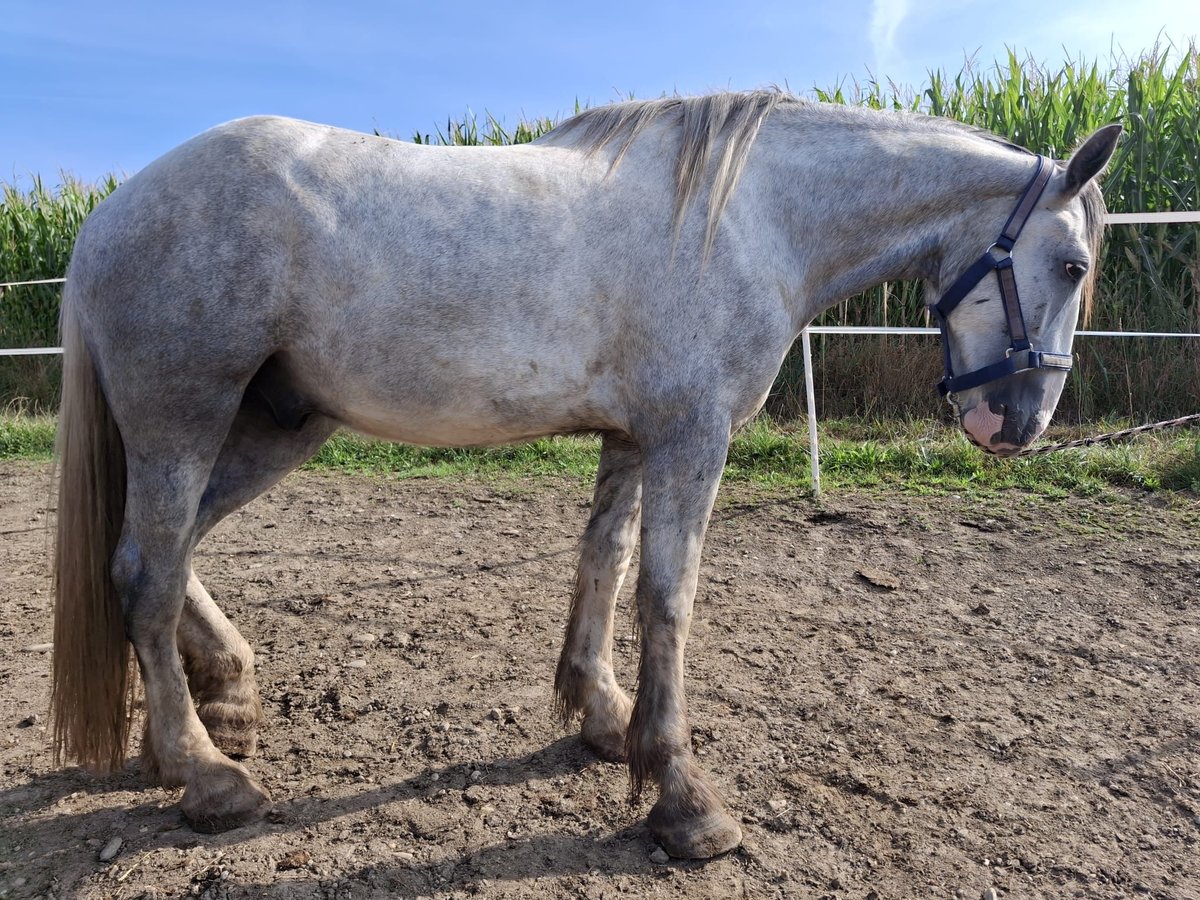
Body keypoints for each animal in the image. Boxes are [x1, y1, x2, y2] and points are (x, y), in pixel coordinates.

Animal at [50, 90, 1119, 859]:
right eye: (1071, 266)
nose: (1017, 423)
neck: (751, 217)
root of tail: (107, 217)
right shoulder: (692, 436)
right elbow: (668, 595)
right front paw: (683, 799)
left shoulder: (633, 438)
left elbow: (604, 564)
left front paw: (602, 717)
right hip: (186, 421)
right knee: (144, 572)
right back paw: (204, 774)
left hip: (274, 429)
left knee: (172, 551)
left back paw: (227, 693)